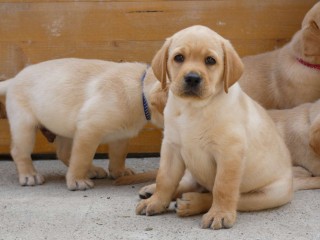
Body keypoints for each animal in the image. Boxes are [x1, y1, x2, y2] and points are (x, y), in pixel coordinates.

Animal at [0, 58, 168, 189]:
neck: (140, 90)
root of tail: (14, 79)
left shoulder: (121, 136)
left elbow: (119, 155)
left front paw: (119, 171)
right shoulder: (89, 130)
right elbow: (82, 158)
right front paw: (77, 181)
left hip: (63, 128)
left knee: (64, 153)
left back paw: (92, 170)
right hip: (24, 127)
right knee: (19, 151)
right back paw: (30, 175)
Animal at [136, 25, 298, 230]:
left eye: (210, 60)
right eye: (179, 58)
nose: (192, 78)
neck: (193, 108)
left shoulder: (229, 153)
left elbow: (222, 188)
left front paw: (219, 214)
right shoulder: (171, 146)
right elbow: (164, 178)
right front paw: (156, 201)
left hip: (267, 195)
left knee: (217, 194)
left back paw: (191, 203)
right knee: (189, 184)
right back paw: (152, 191)